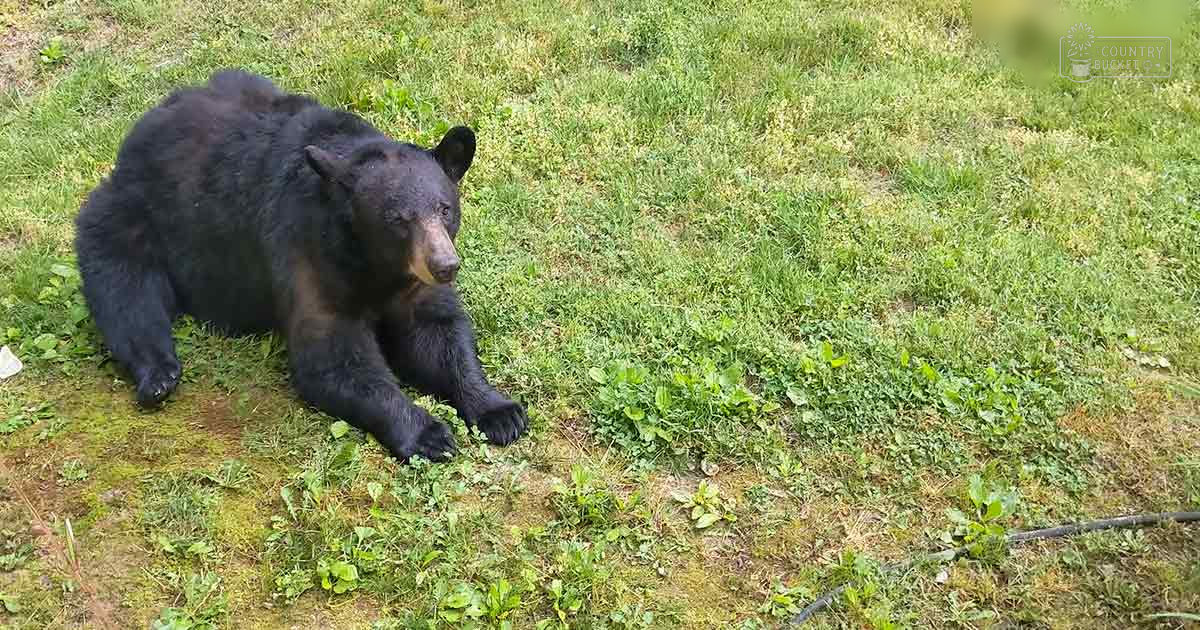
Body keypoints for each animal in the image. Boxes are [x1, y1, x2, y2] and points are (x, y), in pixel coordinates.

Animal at [74, 69, 527, 462]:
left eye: (444, 208)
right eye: (398, 219)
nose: (445, 265)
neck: (374, 265)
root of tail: (140, 128)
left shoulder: (413, 283)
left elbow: (438, 334)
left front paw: (500, 411)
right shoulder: (309, 253)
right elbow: (332, 355)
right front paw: (428, 432)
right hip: (132, 216)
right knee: (125, 292)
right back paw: (159, 374)